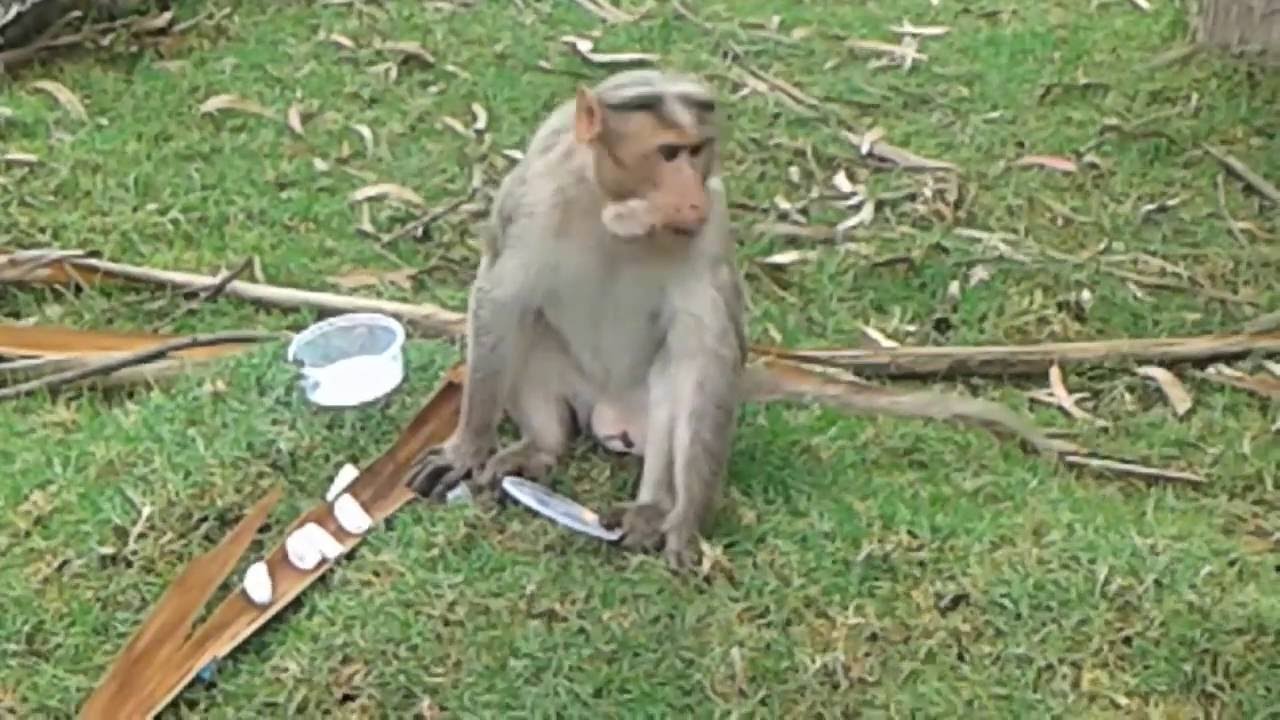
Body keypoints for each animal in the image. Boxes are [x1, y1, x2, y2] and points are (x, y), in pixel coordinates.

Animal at [407, 69, 1079, 570]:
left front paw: (685, 524)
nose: (689, 196)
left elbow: (705, 355)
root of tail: (605, 414)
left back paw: (655, 507)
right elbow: (500, 299)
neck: (612, 211)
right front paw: (468, 445)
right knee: (529, 327)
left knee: (677, 376)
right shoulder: (534, 198)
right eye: (667, 152)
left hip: (641, 413)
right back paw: (541, 448)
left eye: (698, 152)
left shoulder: (713, 221)